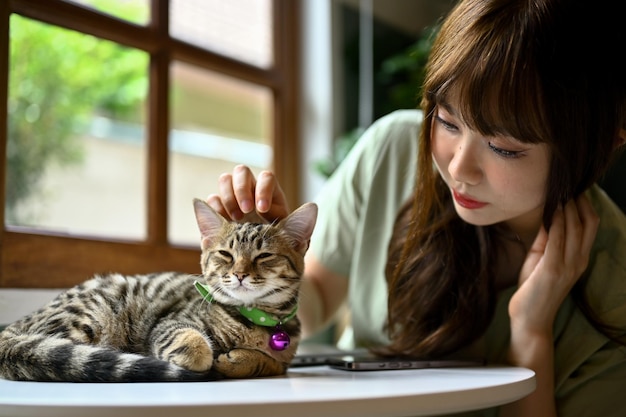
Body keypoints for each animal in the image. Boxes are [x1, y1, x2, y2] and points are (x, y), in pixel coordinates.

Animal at [0, 197, 314, 380]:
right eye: (225, 254)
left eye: (264, 256)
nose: (239, 274)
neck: (253, 319)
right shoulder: (170, 323)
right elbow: (194, 345)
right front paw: (210, 358)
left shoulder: (285, 358)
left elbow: (273, 363)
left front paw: (240, 360)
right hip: (92, 316)